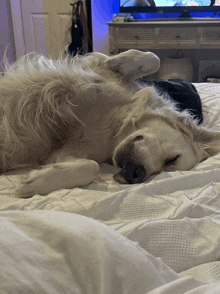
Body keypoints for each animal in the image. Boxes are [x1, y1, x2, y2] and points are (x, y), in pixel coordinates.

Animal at [0, 50, 220, 198]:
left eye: (168, 165)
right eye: (173, 159)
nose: (136, 174)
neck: (115, 127)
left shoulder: (62, 154)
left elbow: (91, 166)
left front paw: (35, 182)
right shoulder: (93, 73)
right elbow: (151, 58)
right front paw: (120, 62)